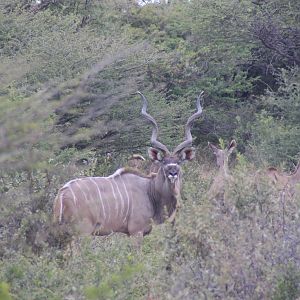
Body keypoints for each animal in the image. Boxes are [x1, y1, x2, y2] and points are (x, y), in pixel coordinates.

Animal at [53, 91, 204, 237]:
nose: (173, 172)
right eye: (163, 162)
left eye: (178, 162)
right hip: (82, 233)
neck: (150, 190)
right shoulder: (136, 232)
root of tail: (62, 195)